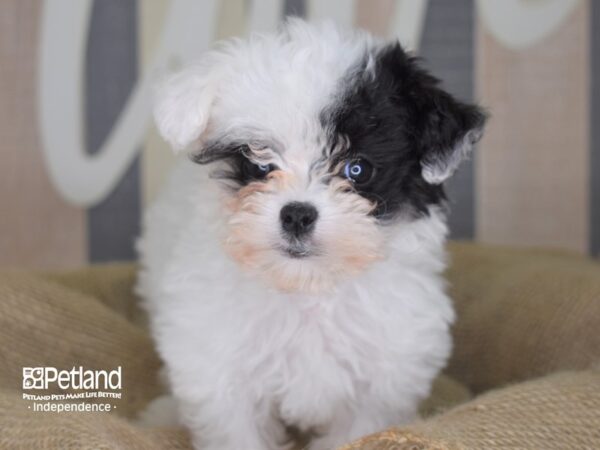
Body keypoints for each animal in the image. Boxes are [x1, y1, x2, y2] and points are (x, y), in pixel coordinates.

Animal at [138, 18, 486, 450]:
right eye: (259, 165)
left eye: (357, 169)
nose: (297, 214)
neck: (307, 288)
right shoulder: (216, 359)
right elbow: (232, 423)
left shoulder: (383, 378)